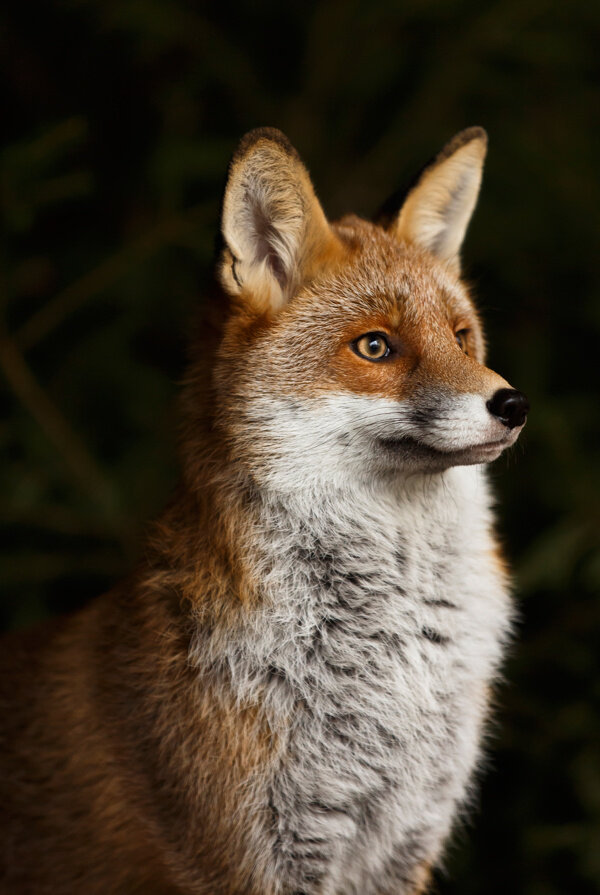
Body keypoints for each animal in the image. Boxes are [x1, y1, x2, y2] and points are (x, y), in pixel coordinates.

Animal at [0, 128, 528, 895]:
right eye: (375, 346)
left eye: (461, 336)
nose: (512, 404)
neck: (391, 666)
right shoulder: (248, 854)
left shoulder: (401, 844)